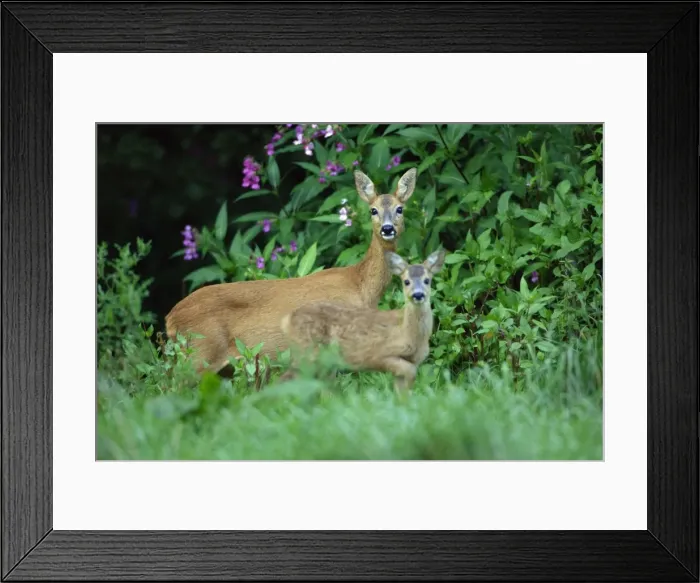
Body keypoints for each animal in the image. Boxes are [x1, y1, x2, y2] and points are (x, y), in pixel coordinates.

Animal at [164, 167, 419, 374]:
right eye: (373, 210)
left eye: (400, 209)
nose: (387, 229)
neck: (361, 285)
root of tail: (170, 318)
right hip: (200, 353)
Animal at [279, 248, 446, 393]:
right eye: (406, 281)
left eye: (427, 280)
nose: (418, 295)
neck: (407, 332)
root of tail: (287, 320)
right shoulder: (379, 354)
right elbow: (411, 372)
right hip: (307, 353)